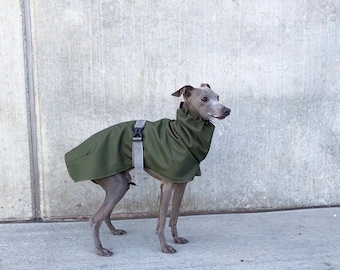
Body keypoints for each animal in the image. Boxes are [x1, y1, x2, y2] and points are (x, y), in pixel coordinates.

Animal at [64, 84, 231, 255]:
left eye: (217, 97)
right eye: (204, 99)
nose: (227, 110)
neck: (182, 133)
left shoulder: (181, 183)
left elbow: (174, 216)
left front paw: (176, 238)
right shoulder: (167, 185)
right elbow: (162, 221)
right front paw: (165, 247)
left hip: (119, 184)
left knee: (105, 214)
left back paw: (114, 231)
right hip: (117, 185)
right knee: (94, 220)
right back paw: (100, 250)